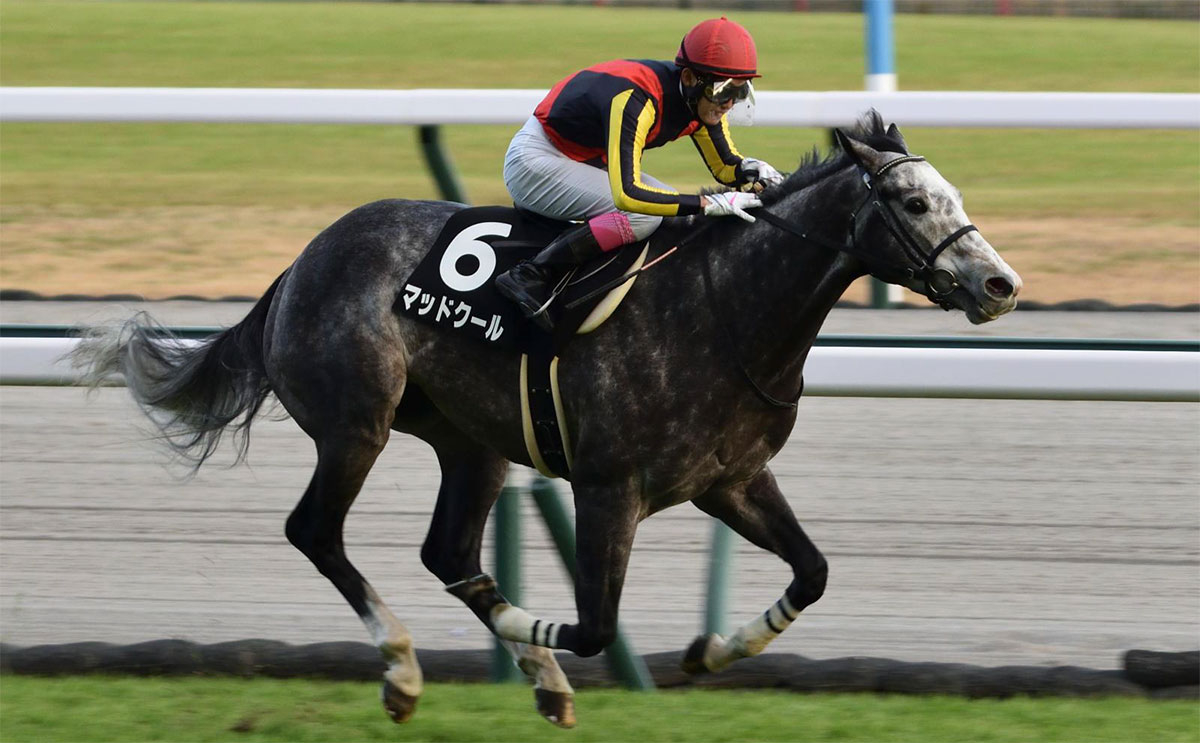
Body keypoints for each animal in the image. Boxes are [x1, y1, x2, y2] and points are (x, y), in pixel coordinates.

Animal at [68, 110, 1022, 724]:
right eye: (912, 203)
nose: (1000, 283)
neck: (725, 307)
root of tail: (302, 260)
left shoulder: (732, 479)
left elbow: (814, 570)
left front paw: (711, 650)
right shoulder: (609, 488)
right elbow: (598, 625)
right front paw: (565, 649)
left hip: (470, 442)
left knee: (448, 550)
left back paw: (530, 674)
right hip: (356, 422)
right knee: (316, 530)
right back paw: (408, 668)